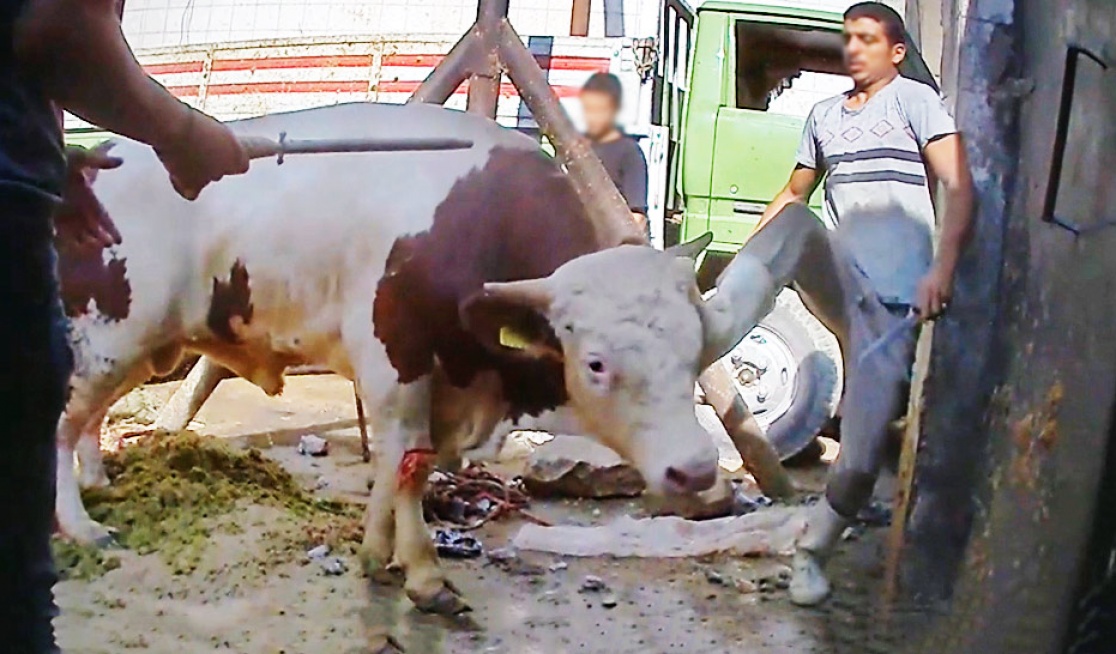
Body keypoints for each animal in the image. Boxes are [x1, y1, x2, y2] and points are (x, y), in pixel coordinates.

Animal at [54, 101, 767, 611]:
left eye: (695, 348)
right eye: (596, 363)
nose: (695, 470)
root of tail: (100, 154)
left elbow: (404, 466)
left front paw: (380, 553)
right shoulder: (395, 364)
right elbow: (407, 463)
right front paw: (422, 572)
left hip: (140, 348)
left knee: (90, 417)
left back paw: (98, 481)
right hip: (102, 338)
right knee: (62, 422)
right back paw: (80, 525)